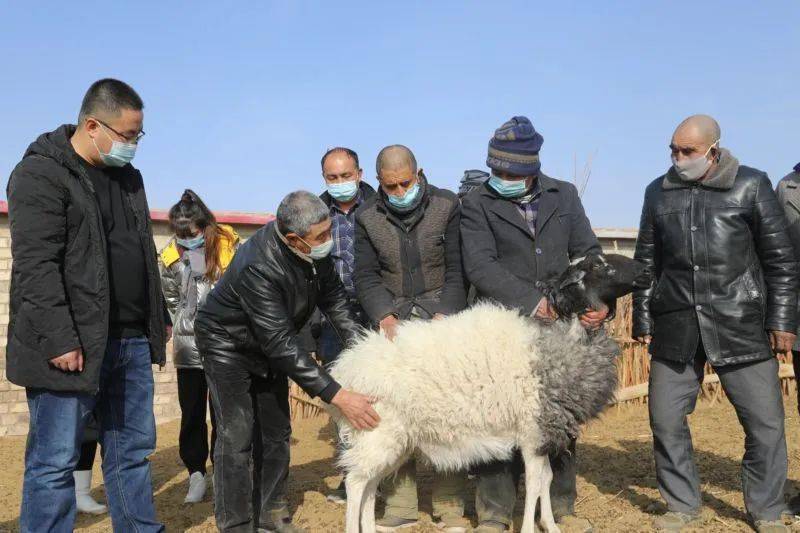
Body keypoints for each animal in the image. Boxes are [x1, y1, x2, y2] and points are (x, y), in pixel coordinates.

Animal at [328, 254, 652, 532]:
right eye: (598, 265)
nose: (646, 271)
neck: (562, 339)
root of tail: (348, 367)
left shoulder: (544, 433)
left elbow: (547, 479)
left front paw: (551, 525)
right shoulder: (531, 431)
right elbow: (535, 483)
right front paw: (529, 529)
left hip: (394, 440)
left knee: (370, 485)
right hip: (377, 432)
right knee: (356, 482)